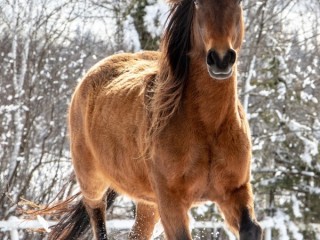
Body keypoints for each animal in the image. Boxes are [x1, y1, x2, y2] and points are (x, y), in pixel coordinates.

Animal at [48, 0, 262, 240]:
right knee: (99, 223)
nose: (221, 59)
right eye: (198, 4)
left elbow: (252, 228)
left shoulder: (235, 190)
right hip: (92, 184)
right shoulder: (170, 201)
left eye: (239, 3)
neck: (208, 128)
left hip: (148, 204)